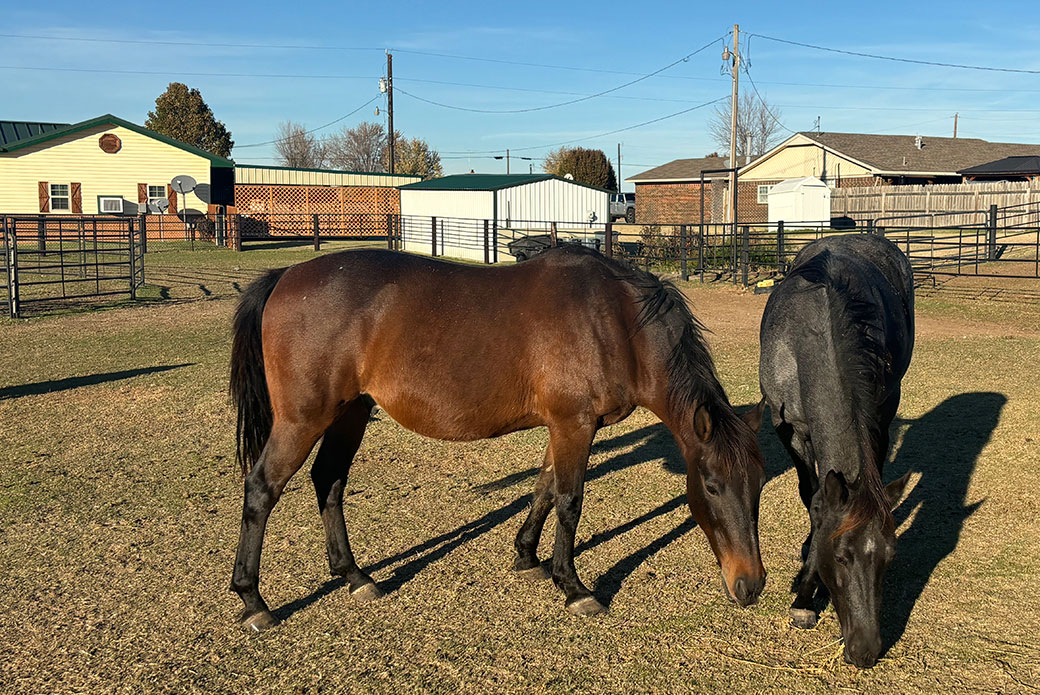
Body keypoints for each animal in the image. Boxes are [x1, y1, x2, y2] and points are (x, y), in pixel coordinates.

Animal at [229, 245, 767, 632]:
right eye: (712, 485)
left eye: (759, 486)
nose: (751, 585)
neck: (615, 318)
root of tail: (287, 275)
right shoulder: (574, 424)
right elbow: (570, 500)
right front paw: (573, 587)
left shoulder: (566, 425)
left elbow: (544, 489)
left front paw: (527, 556)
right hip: (303, 419)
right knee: (262, 489)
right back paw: (254, 600)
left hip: (350, 413)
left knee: (329, 481)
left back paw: (355, 577)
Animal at [759, 233, 914, 668]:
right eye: (841, 556)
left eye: (890, 556)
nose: (866, 650)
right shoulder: (789, 429)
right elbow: (813, 500)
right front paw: (804, 593)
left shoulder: (878, 413)